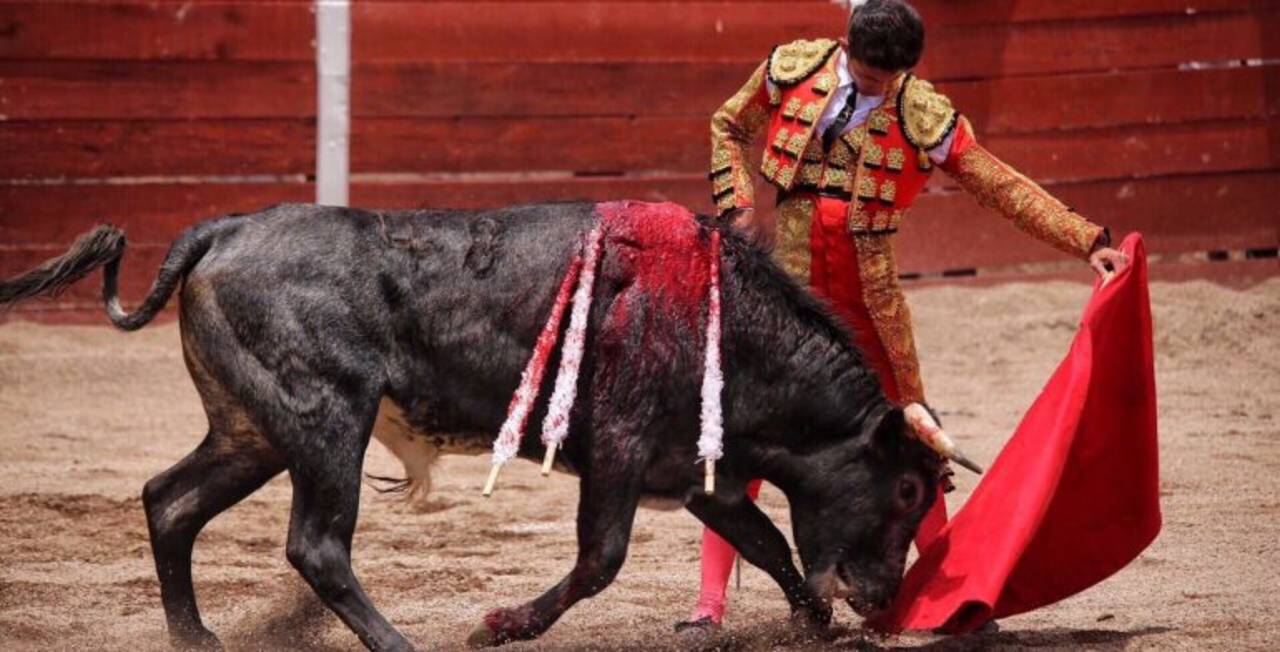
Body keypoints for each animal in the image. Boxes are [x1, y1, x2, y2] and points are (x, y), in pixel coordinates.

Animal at [0, 201, 946, 651]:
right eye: (905, 488)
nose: (881, 599)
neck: (723, 319)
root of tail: (225, 228)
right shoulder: (621, 450)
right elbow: (602, 560)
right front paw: (498, 626)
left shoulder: (692, 470)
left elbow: (768, 542)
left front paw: (817, 628)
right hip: (324, 422)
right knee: (316, 545)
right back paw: (398, 643)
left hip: (251, 433)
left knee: (169, 500)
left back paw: (194, 635)